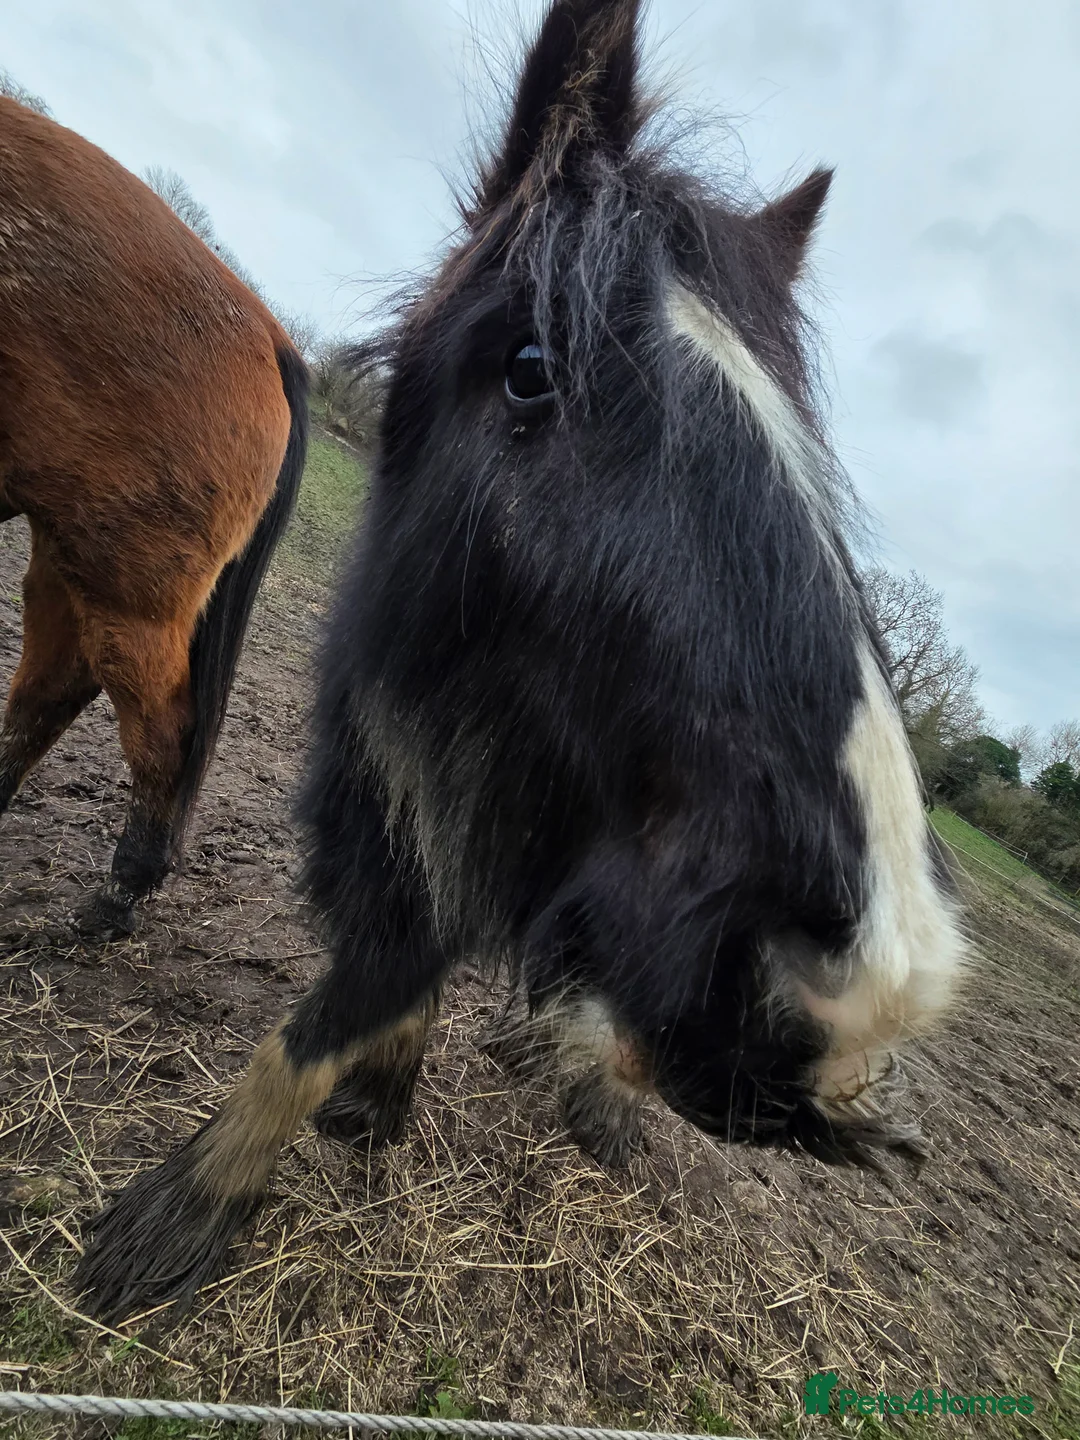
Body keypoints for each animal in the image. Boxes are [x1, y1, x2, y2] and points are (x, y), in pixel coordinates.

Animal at [0, 95, 308, 940]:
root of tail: (269, 336)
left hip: (124, 581)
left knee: (158, 727)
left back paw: (120, 893)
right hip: (70, 546)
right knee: (49, 691)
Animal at [76, 0, 967, 1324]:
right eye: (530, 365)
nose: (865, 985)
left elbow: (378, 989)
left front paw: (191, 1206)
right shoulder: (400, 769)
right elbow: (373, 978)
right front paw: (280, 1153)